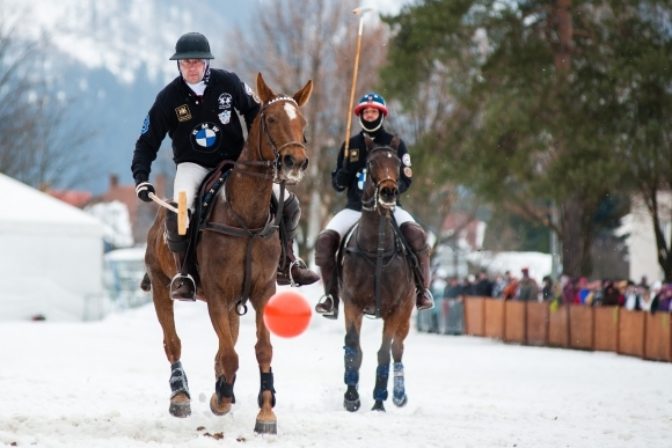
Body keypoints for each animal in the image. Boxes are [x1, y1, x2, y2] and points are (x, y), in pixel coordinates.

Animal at [143, 72, 314, 434]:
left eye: (302, 121)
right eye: (271, 119)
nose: (295, 162)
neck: (246, 216)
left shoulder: (263, 290)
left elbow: (261, 349)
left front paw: (266, 412)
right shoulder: (218, 294)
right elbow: (230, 354)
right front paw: (221, 399)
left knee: (227, 343)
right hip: (161, 286)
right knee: (173, 342)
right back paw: (181, 396)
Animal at [342, 142, 414, 412]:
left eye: (397, 163)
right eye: (371, 163)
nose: (389, 192)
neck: (377, 249)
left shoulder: (394, 309)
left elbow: (384, 352)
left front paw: (379, 401)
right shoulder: (352, 303)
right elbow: (353, 348)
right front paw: (351, 397)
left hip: (407, 310)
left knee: (397, 348)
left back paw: (399, 395)